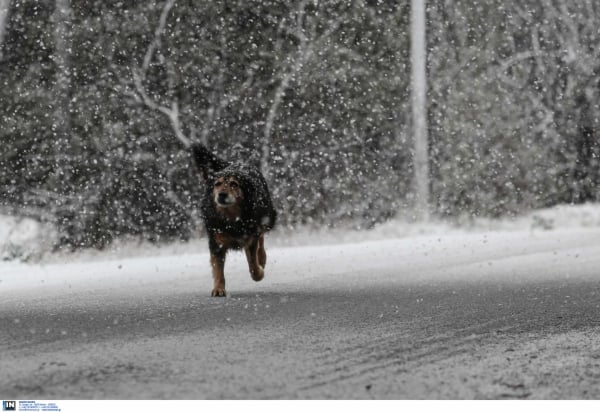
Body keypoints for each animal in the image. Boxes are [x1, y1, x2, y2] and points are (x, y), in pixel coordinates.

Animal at [191, 144, 278, 296]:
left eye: (234, 184)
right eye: (217, 184)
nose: (221, 194)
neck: (232, 218)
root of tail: (232, 164)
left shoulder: (250, 235)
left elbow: (253, 264)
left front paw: (259, 273)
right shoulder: (216, 241)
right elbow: (218, 268)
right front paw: (218, 288)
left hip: (268, 217)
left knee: (261, 236)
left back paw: (262, 258)